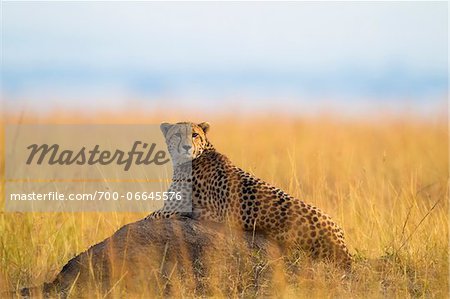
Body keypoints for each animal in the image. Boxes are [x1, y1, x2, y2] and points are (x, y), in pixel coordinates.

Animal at [146, 122, 354, 268]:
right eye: (177, 135)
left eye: (195, 134)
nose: (186, 147)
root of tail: (342, 242)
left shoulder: (174, 209)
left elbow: (150, 215)